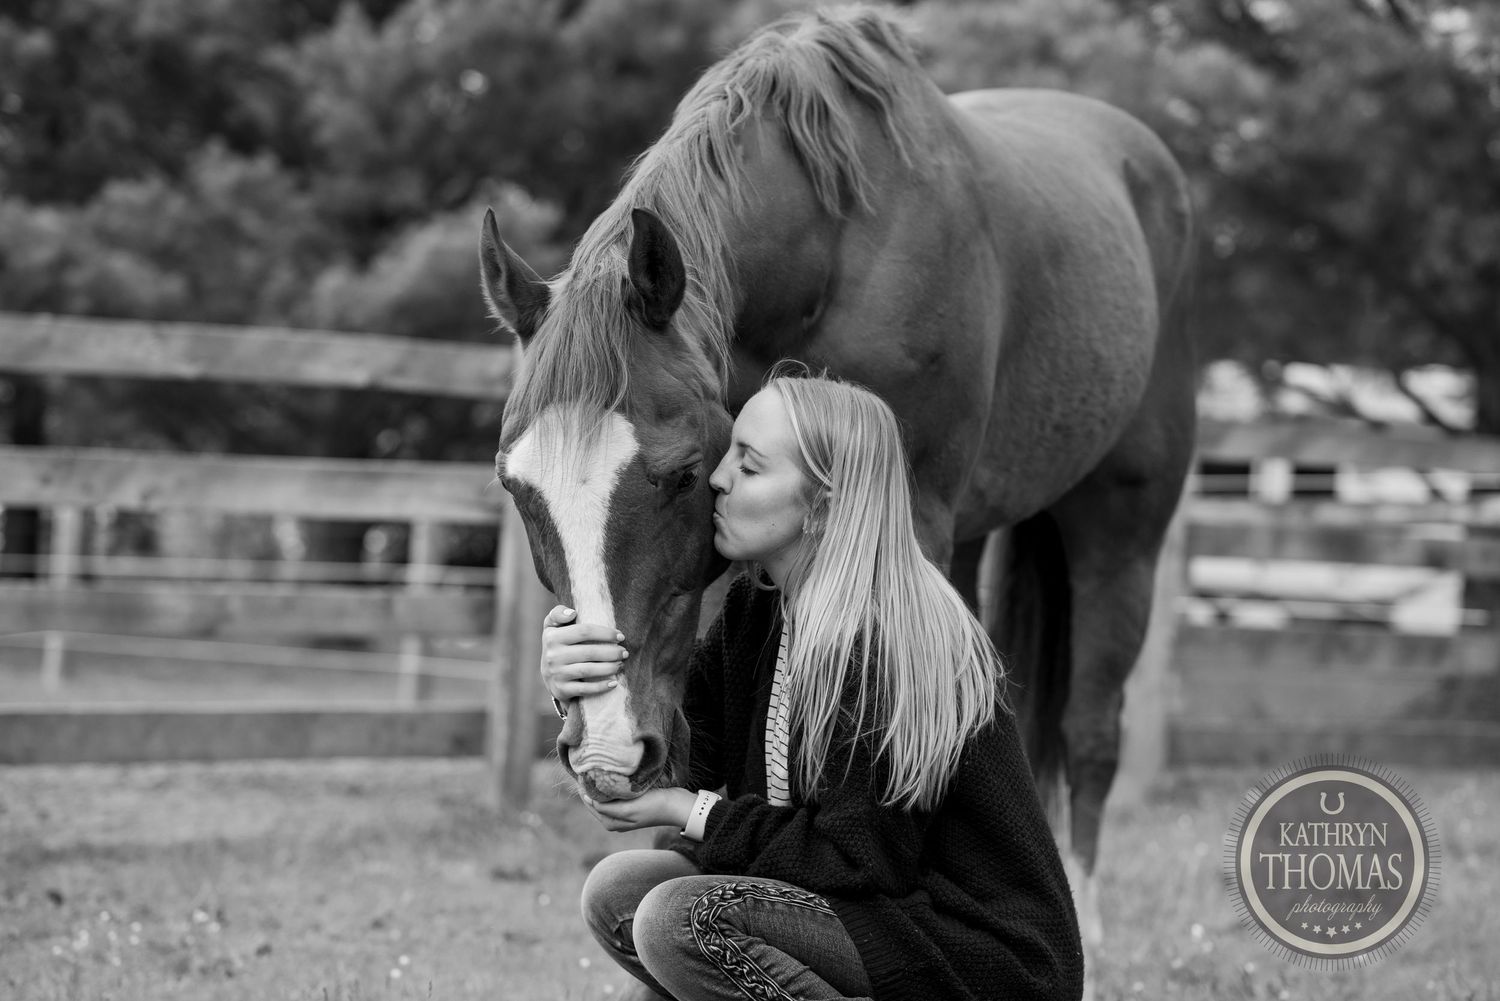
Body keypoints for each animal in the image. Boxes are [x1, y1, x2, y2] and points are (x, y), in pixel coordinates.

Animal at [484, 6, 1195, 977]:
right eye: (518, 488)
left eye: (680, 473)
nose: (605, 749)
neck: (833, 243)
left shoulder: (909, 520)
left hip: (1120, 528)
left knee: (1090, 731)